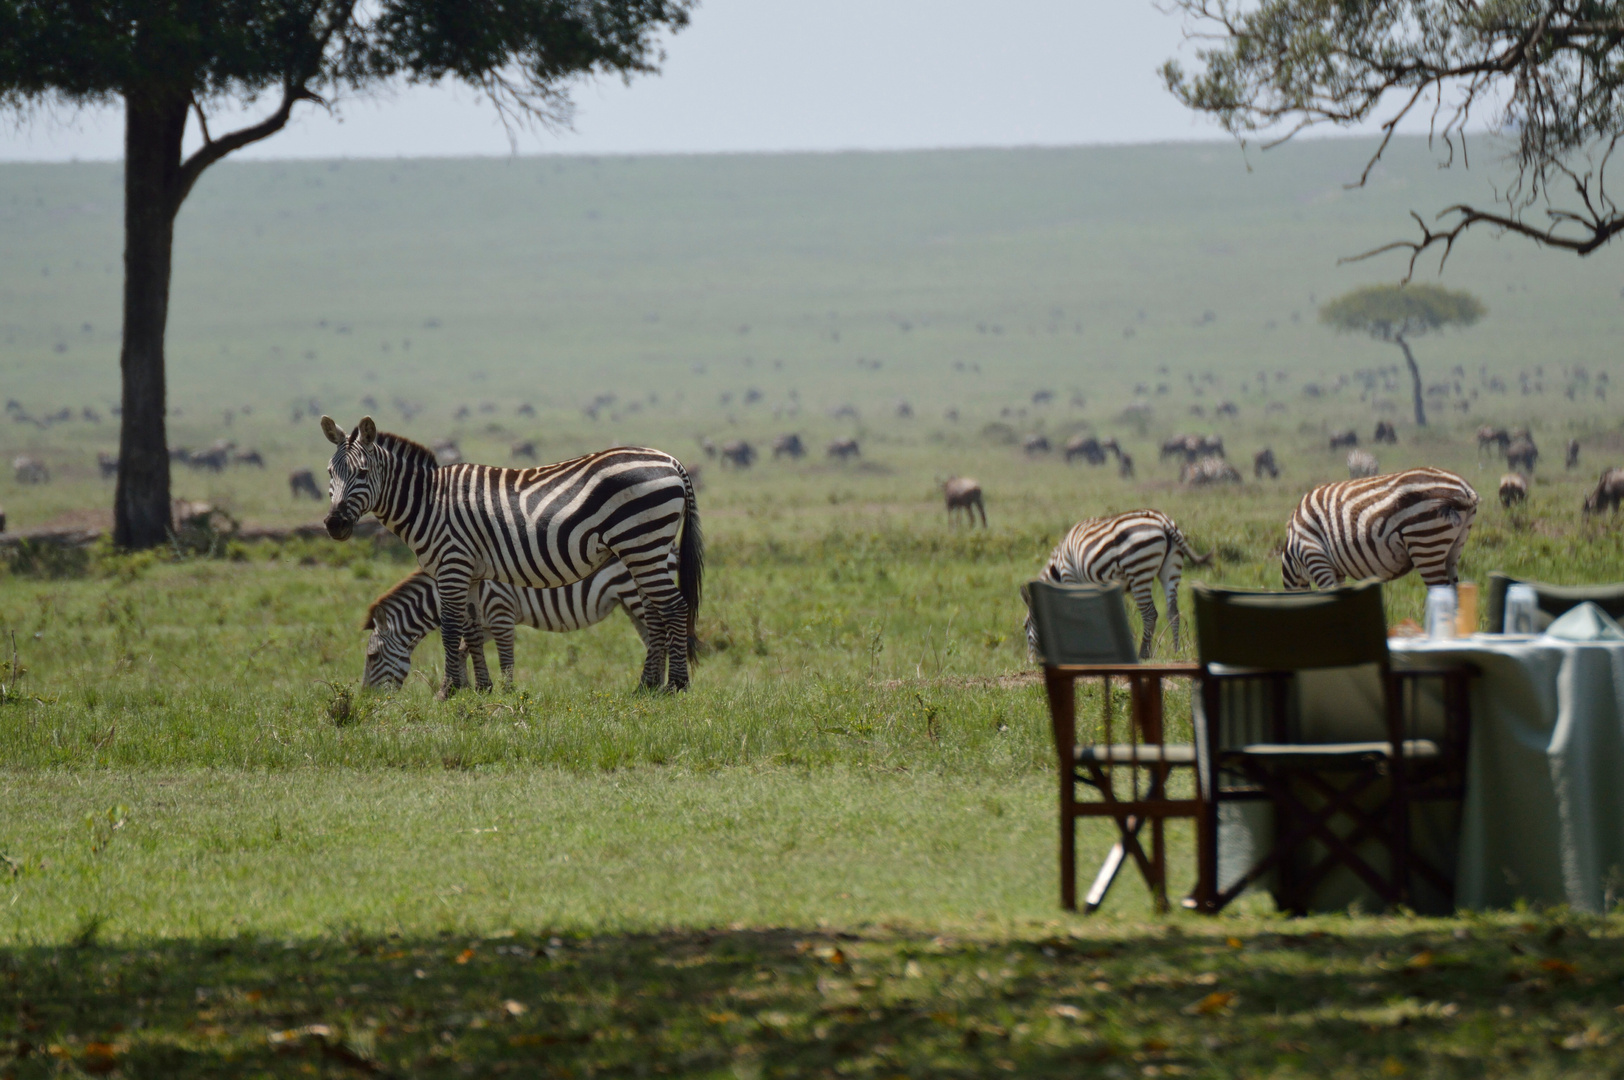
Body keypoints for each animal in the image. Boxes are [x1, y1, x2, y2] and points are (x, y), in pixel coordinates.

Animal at [362, 558, 659, 685]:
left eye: (373, 657)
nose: (367, 699)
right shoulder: (484, 623)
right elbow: (463, 650)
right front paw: (452, 691)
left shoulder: (500, 610)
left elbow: (505, 663)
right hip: (630, 602)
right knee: (652, 640)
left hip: (634, 593)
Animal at [1026, 506, 1208, 656]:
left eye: (1025, 627)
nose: (1032, 662)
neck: (1058, 566)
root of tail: (1163, 521)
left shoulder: (1070, 577)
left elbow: (1079, 616)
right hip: (1171, 568)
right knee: (1173, 611)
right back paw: (1177, 651)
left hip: (1139, 568)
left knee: (1150, 613)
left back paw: (1144, 654)